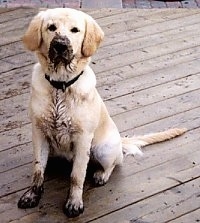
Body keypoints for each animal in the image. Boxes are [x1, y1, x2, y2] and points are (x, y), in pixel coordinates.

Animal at [18, 7, 187, 217]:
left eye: (75, 30)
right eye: (51, 27)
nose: (60, 45)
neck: (60, 87)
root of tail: (120, 140)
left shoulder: (83, 138)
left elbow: (77, 176)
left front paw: (74, 203)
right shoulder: (39, 132)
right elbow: (38, 170)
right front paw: (32, 195)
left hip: (102, 149)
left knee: (115, 163)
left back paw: (102, 175)